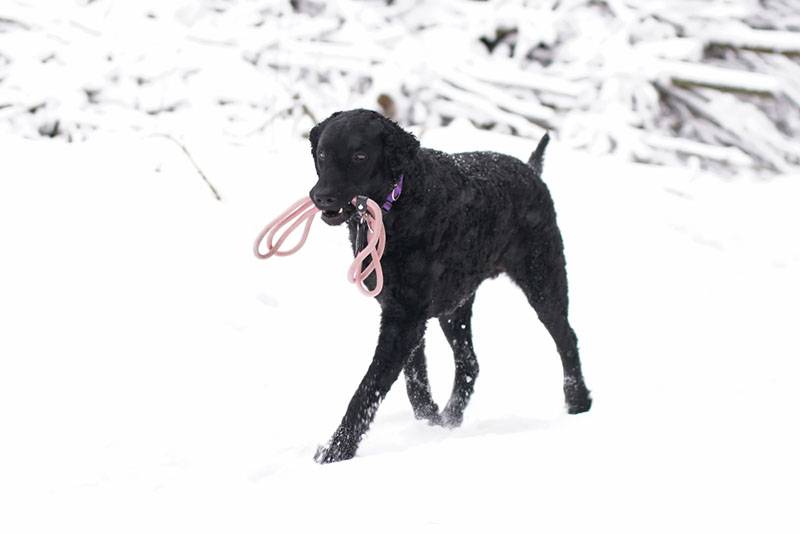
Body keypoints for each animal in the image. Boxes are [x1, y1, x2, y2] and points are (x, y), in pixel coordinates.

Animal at [310, 110, 592, 464]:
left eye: (359, 156)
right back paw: (450, 418)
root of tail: (530, 169)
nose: (321, 196)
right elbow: (414, 377)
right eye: (322, 155)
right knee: (469, 362)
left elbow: (369, 387)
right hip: (455, 305)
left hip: (544, 282)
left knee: (567, 338)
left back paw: (578, 401)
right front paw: (428, 418)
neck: (401, 204)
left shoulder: (405, 319)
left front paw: (337, 450)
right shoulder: (402, 312)